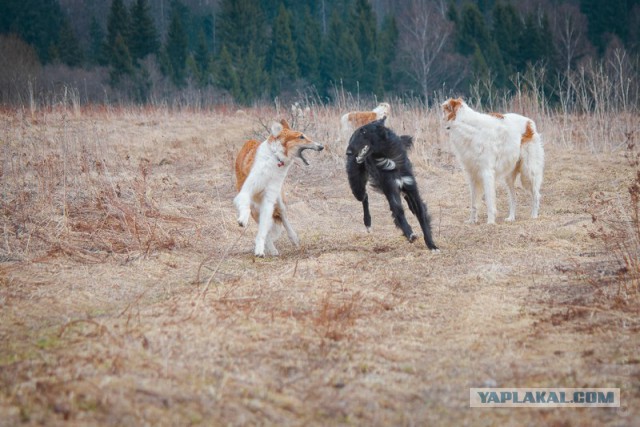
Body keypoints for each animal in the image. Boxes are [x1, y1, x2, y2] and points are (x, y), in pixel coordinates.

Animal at [234, 118, 324, 256]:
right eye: (301, 136)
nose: (321, 146)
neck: (275, 158)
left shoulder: (269, 199)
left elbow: (264, 230)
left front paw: (260, 248)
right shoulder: (247, 190)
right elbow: (246, 207)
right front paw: (243, 220)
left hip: (279, 200)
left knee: (283, 218)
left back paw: (291, 239)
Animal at [344, 117, 440, 251]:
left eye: (364, 132)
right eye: (355, 134)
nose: (348, 152)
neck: (388, 156)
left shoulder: (411, 186)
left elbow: (422, 215)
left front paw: (431, 245)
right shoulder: (390, 188)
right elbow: (398, 211)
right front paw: (410, 234)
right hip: (357, 185)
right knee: (365, 197)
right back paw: (368, 223)